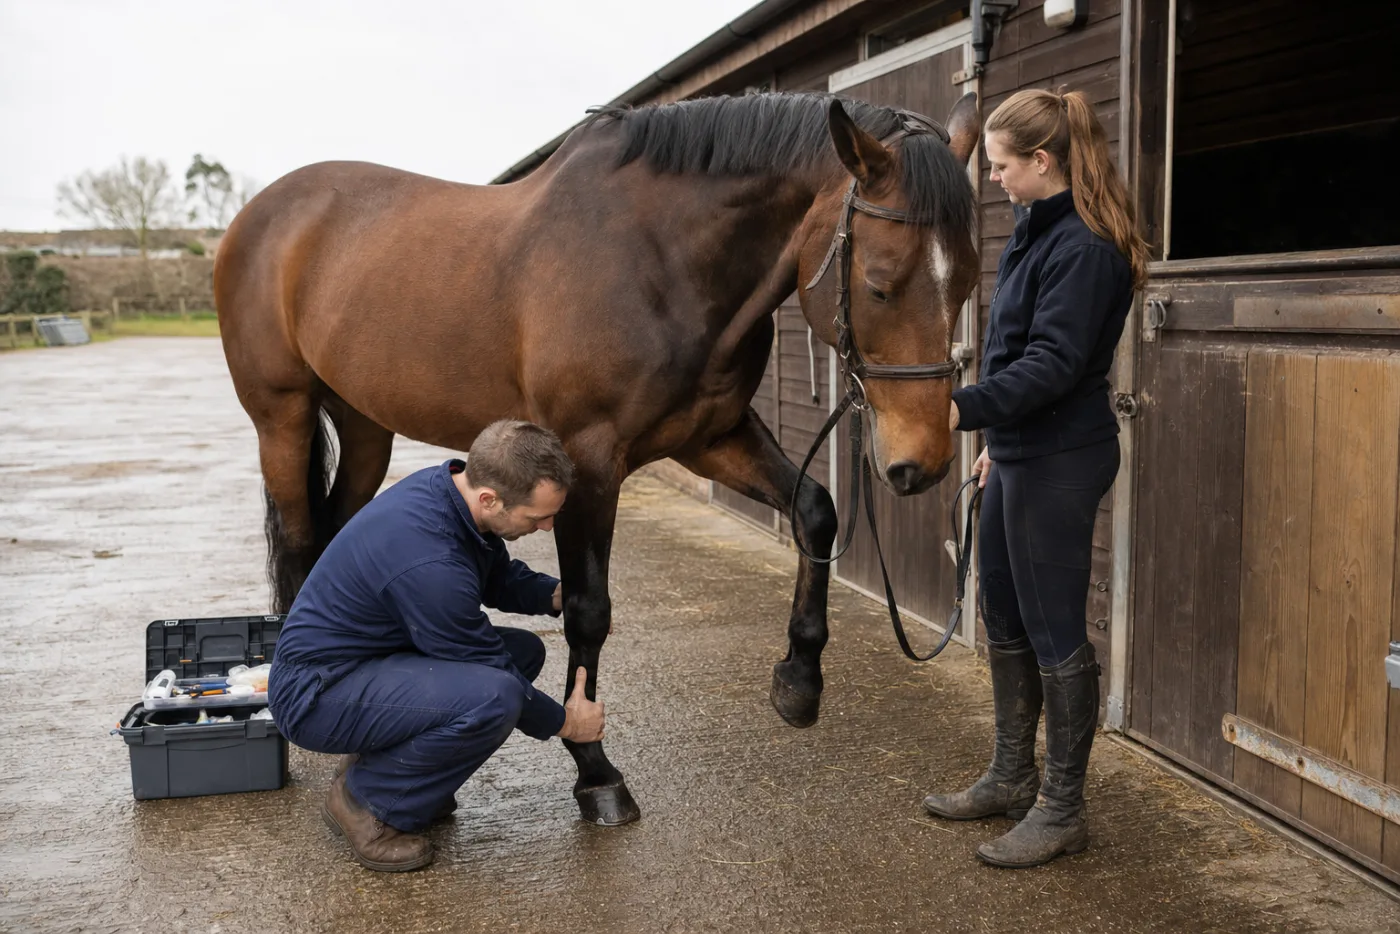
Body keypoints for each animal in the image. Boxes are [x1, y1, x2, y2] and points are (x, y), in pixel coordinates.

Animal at [214, 90, 983, 826]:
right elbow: (588, 612)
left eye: (969, 282)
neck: (660, 259)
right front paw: (596, 771)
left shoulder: (713, 437)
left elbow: (815, 513)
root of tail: (262, 213)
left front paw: (798, 680)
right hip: (282, 417)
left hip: (366, 423)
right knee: (302, 542)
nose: (923, 462)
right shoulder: (586, 459)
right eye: (880, 283)